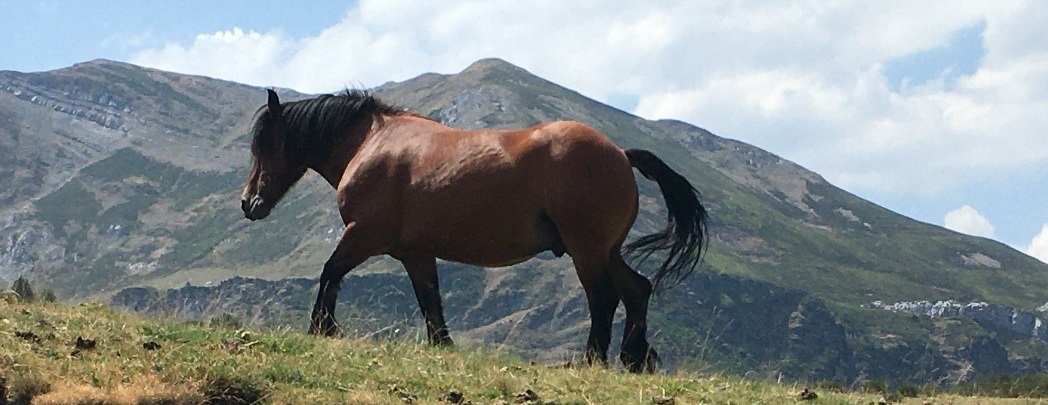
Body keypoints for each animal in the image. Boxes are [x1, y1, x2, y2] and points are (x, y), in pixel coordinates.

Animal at [240, 88, 708, 373]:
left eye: (264, 144)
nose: (249, 203)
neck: (372, 144)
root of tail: (621, 153)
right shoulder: (416, 253)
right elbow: (430, 303)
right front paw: (442, 346)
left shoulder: (362, 236)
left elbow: (330, 273)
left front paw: (322, 329)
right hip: (607, 251)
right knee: (637, 290)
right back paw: (635, 358)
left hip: (587, 251)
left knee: (605, 299)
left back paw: (592, 359)